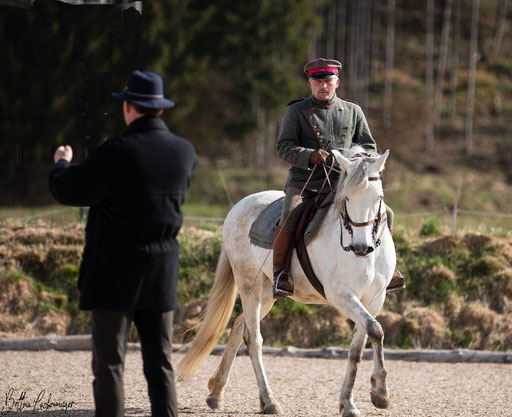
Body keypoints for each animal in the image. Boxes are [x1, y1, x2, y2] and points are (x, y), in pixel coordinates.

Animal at [177, 147, 396, 416]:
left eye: (378, 197)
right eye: (346, 198)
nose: (361, 248)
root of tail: (239, 206)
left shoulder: (374, 298)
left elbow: (360, 346)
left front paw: (350, 402)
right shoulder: (342, 295)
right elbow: (376, 329)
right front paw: (380, 393)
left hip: (267, 293)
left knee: (239, 326)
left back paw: (217, 393)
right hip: (249, 285)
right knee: (254, 339)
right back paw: (269, 400)